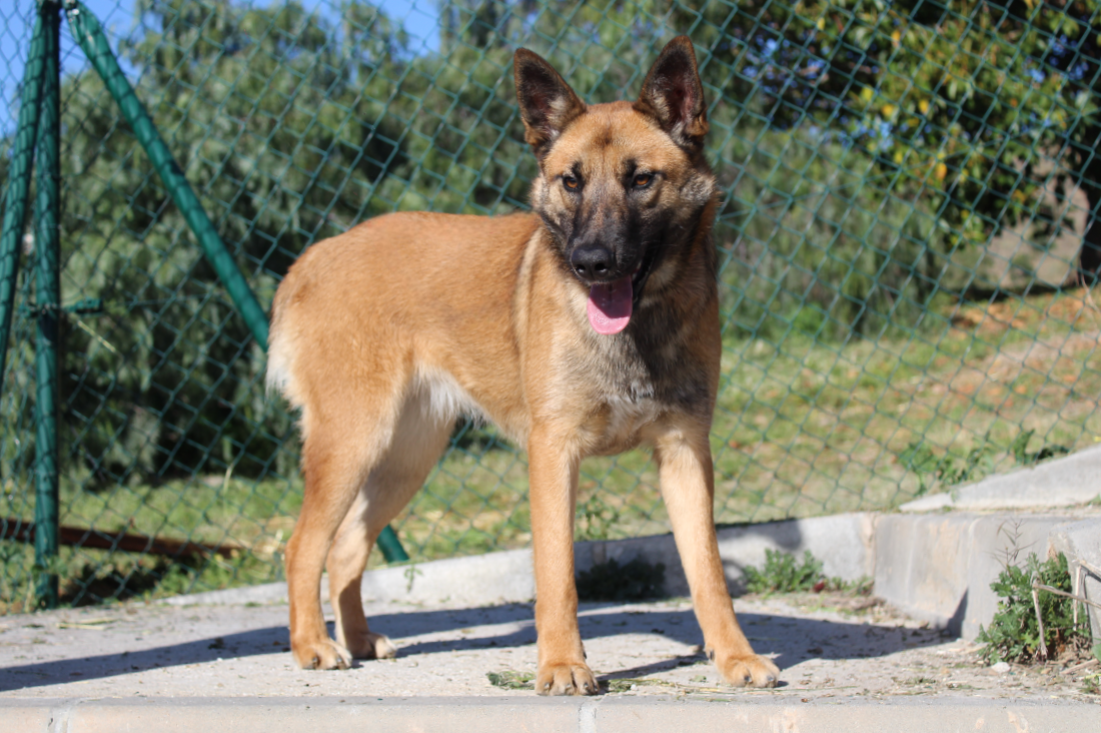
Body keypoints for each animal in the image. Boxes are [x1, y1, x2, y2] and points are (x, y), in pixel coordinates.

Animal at [266, 34, 779, 695]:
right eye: (571, 182)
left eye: (641, 180)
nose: (591, 262)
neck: (636, 329)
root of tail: (312, 259)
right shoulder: (553, 452)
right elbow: (557, 573)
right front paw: (562, 664)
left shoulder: (685, 454)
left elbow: (708, 571)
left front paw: (735, 656)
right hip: (352, 445)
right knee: (303, 547)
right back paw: (313, 645)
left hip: (403, 461)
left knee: (345, 549)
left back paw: (355, 638)